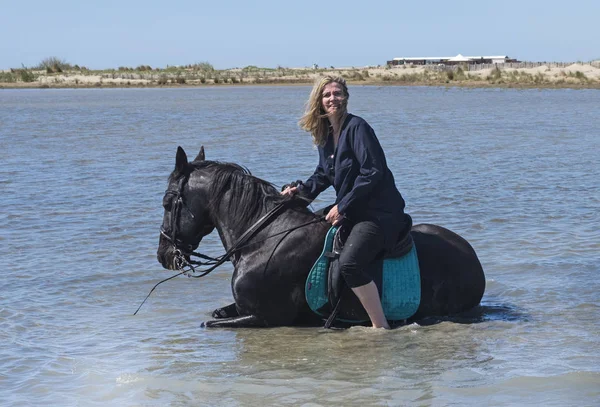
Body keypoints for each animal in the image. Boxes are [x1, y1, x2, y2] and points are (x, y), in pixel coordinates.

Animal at [157, 147, 486, 328]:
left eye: (167, 202)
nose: (163, 255)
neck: (262, 239)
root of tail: (473, 259)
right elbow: (214, 312)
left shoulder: (263, 318)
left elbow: (208, 322)